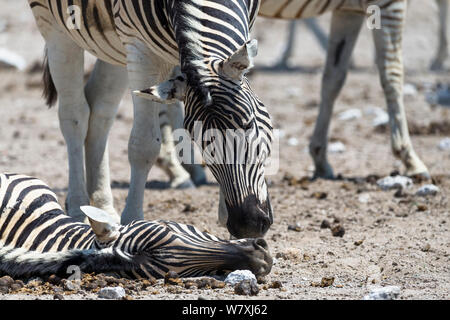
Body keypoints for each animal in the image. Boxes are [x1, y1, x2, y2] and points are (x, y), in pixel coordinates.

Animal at [29, 0, 274, 240]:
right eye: (195, 138)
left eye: (248, 124)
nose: (247, 225)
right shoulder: (140, 50)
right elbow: (143, 146)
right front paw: (134, 220)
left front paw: (226, 222)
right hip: (54, 26)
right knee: (74, 116)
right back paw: (78, 208)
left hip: (114, 45)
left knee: (99, 107)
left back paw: (101, 207)